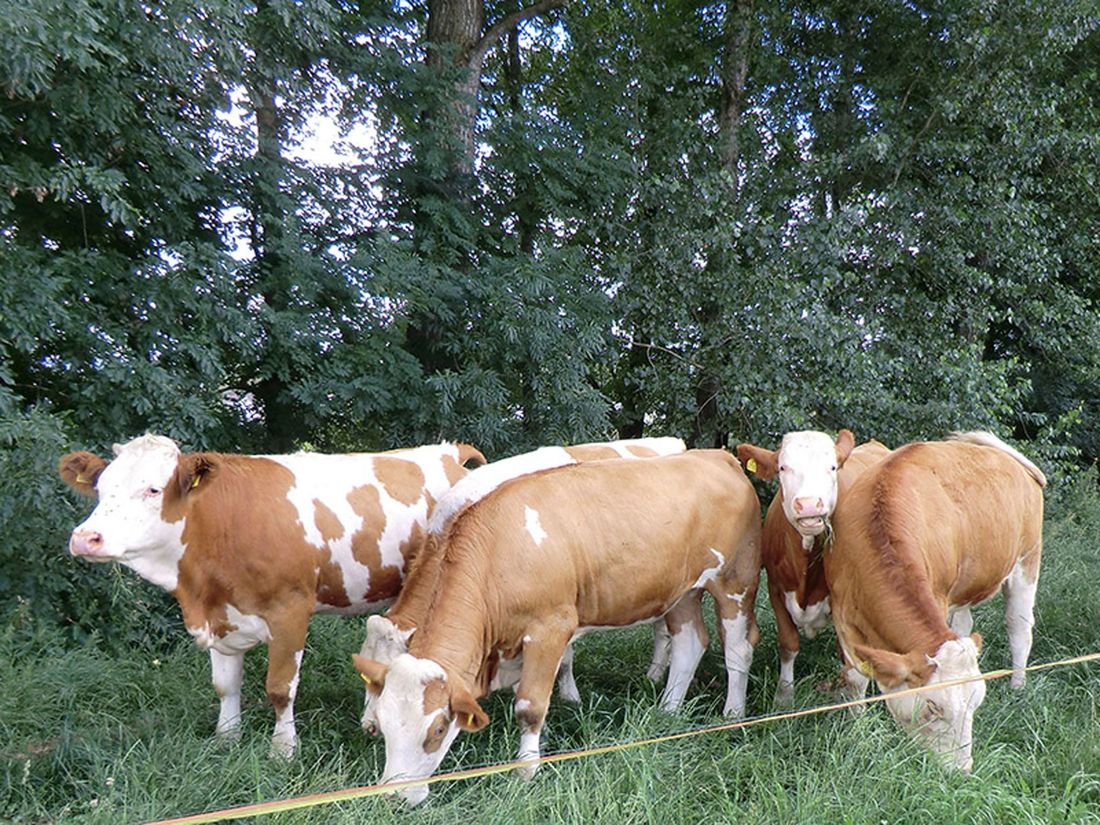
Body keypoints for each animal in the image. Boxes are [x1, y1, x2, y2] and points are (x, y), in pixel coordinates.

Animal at [58, 435, 485, 757]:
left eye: (152, 489)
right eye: (100, 490)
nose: (85, 538)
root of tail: (450, 450)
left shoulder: (290, 612)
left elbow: (280, 689)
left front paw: (283, 749)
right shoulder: (221, 614)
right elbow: (225, 685)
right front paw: (227, 738)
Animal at [358, 437, 688, 733]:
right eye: (368, 675)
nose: (369, 726)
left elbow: (561, 662)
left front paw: (569, 698)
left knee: (663, 630)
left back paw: (655, 674)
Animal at [735, 431, 891, 704]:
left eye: (832, 467)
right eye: (783, 467)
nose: (809, 505)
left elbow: (853, 666)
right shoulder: (776, 589)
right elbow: (788, 644)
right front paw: (784, 697)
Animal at [823, 431, 1045, 771]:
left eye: (976, 703)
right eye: (932, 707)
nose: (961, 772)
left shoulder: (938, 596)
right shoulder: (843, 615)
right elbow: (856, 679)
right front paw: (857, 728)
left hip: (1026, 561)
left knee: (1019, 628)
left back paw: (1018, 686)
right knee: (968, 622)